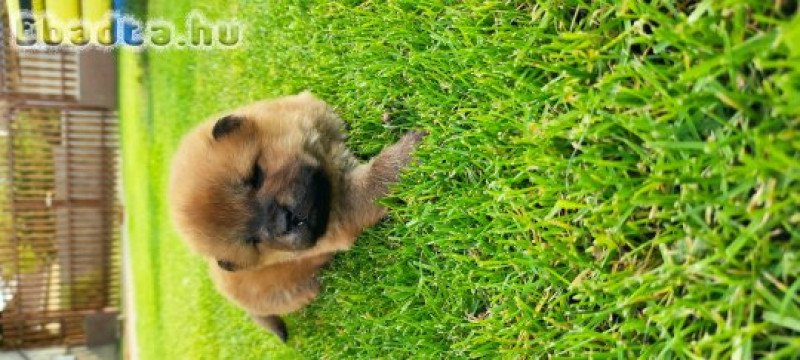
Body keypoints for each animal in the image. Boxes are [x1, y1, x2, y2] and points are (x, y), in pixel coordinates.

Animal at [169, 91, 424, 342]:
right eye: (253, 239)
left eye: (256, 176)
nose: (284, 222)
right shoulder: (346, 207)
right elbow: (375, 180)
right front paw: (409, 150)